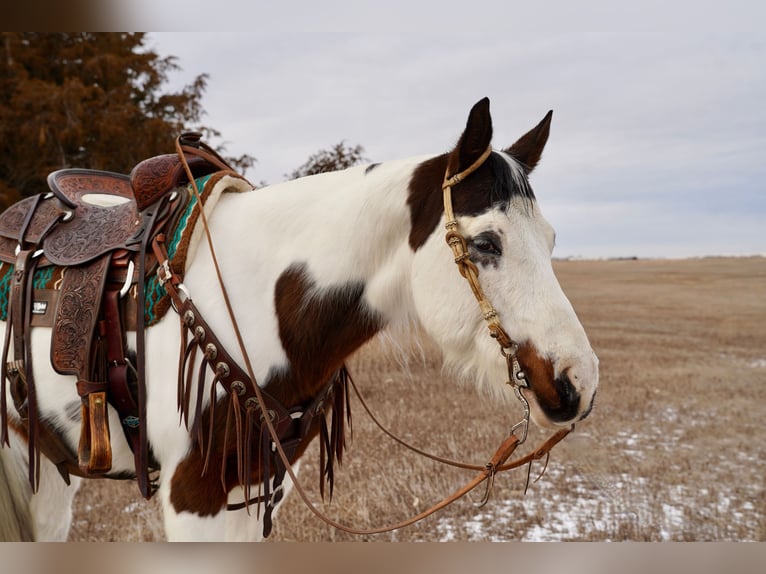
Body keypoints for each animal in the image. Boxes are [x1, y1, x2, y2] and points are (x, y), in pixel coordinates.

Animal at [0, 97, 600, 544]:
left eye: (551, 241)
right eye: (486, 243)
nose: (579, 381)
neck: (257, 300)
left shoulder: (260, 486)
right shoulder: (193, 493)